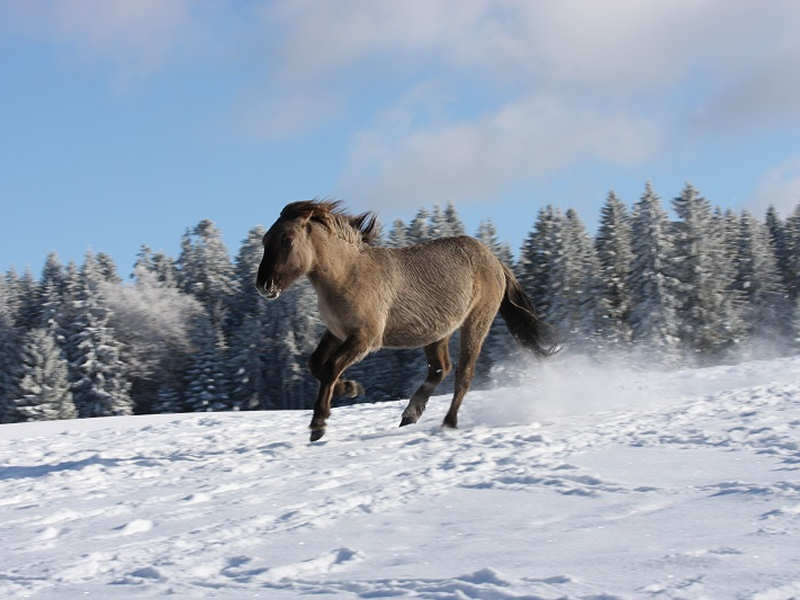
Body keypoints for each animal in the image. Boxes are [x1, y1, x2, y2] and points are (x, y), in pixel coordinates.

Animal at [256, 200, 559, 441]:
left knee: (463, 374)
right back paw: (410, 414)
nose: (264, 286)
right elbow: (316, 365)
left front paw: (319, 424)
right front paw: (351, 389)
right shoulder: (337, 332)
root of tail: (495, 260)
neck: (347, 275)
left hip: (476, 322)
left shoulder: (365, 338)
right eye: (265, 240)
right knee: (440, 368)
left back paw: (448, 423)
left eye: (287, 239)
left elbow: (330, 368)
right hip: (438, 331)